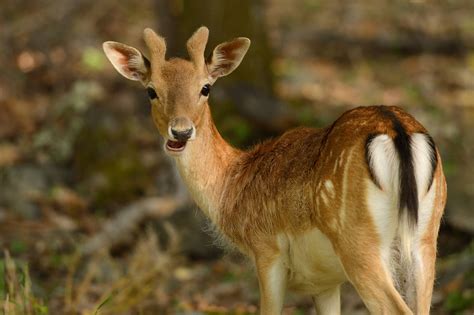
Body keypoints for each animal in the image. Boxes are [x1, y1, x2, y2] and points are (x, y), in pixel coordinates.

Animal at [103, 27, 448, 315]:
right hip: (426, 237)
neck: (231, 188)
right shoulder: (324, 281)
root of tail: (397, 130)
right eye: (151, 90)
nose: (181, 132)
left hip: (358, 240)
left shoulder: (266, 249)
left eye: (205, 88)